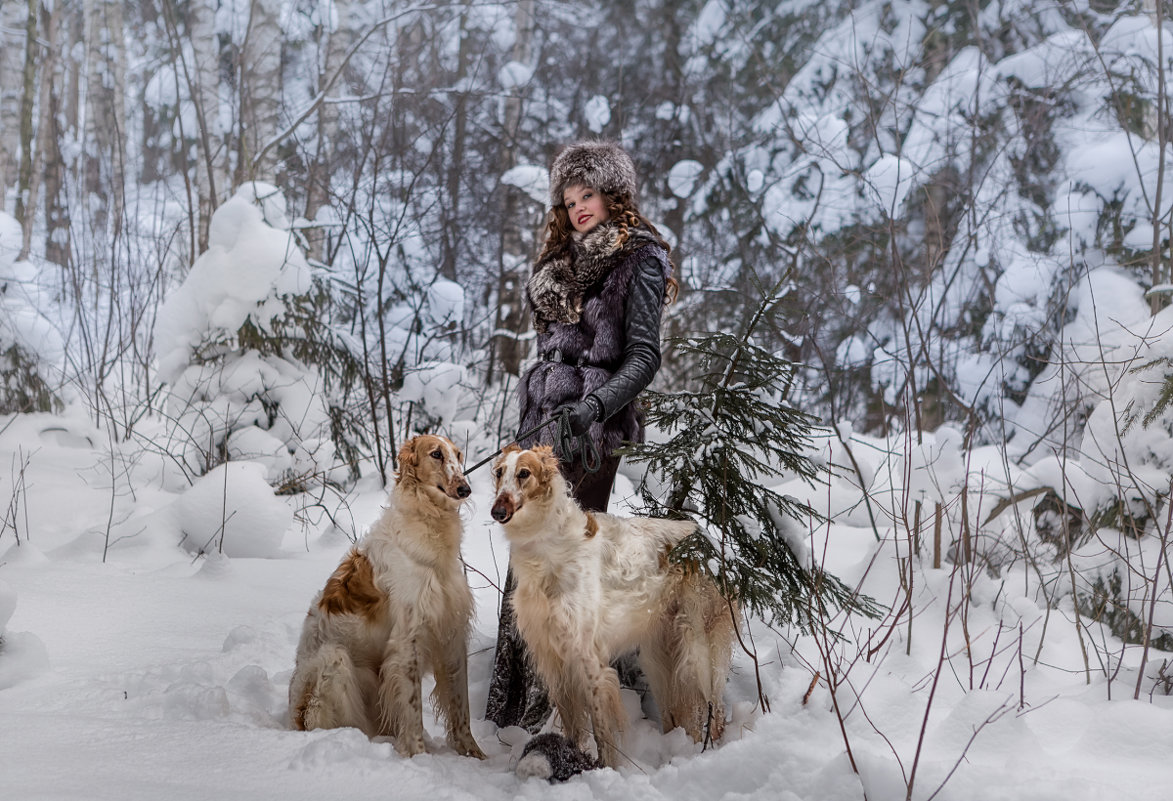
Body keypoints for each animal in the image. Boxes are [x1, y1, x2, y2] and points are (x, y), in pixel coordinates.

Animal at [290, 436, 487, 759]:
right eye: (436, 454)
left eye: (458, 455)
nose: (464, 489)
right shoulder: (407, 640)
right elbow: (413, 711)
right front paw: (418, 756)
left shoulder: (451, 633)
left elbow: (461, 708)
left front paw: (474, 755)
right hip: (335, 660)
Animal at [490, 440, 736, 769]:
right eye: (499, 472)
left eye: (524, 473)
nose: (497, 511)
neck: (547, 548)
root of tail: (706, 538)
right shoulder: (555, 660)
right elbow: (574, 726)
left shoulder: (589, 659)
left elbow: (602, 732)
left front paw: (605, 770)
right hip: (660, 658)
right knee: (679, 715)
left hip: (695, 650)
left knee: (716, 709)